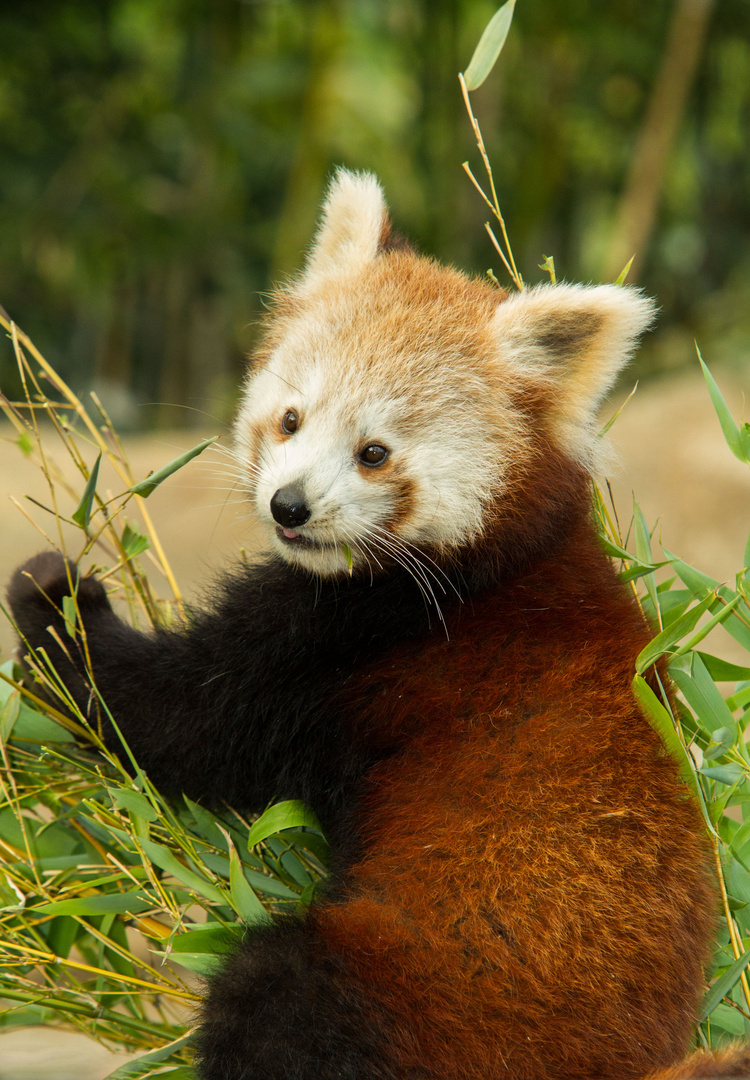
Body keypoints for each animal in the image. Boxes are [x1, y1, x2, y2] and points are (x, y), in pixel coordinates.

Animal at [4, 170, 734, 1080]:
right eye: (290, 419)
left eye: (374, 453)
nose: (289, 506)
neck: (490, 563)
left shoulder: (350, 641)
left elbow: (171, 717)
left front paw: (53, 600)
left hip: (423, 987)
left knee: (276, 988)